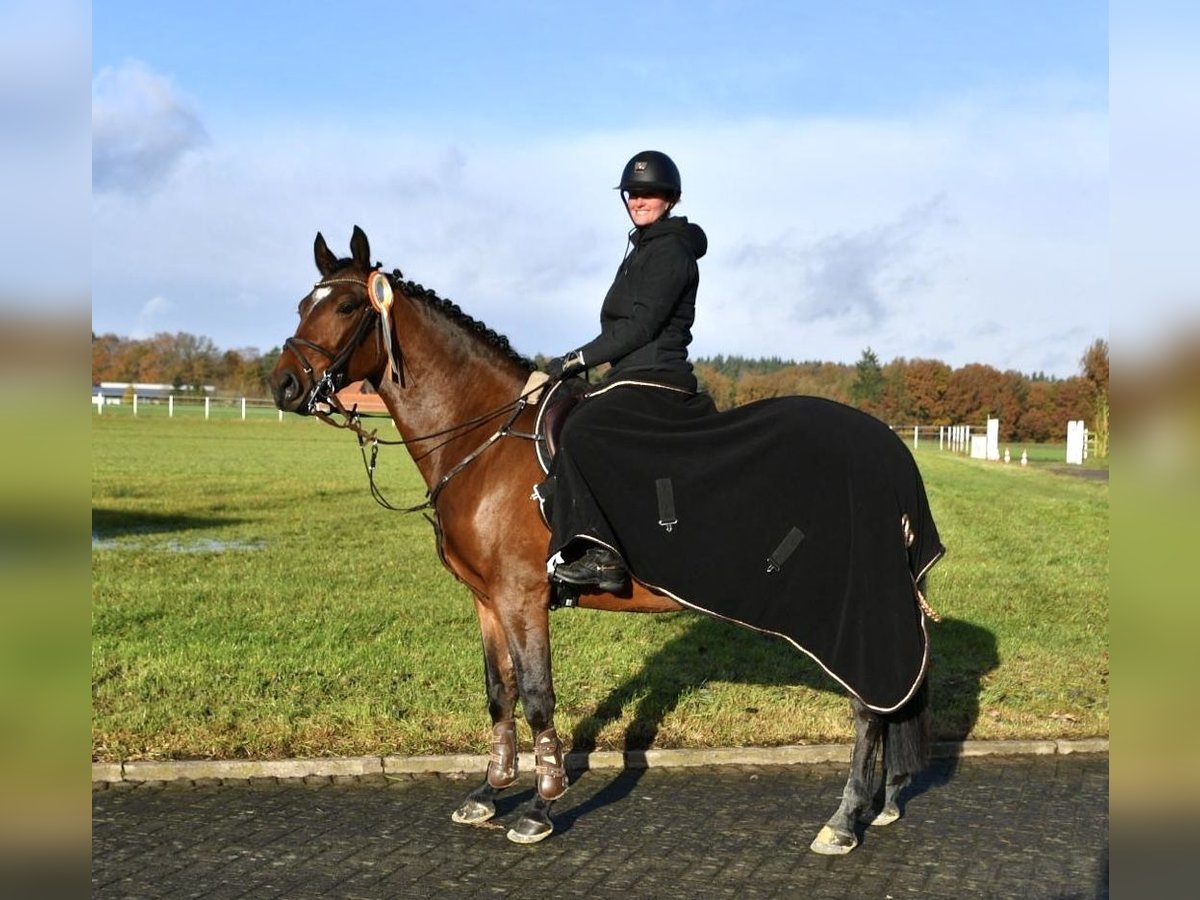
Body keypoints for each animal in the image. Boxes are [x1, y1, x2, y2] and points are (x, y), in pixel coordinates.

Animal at [270, 225, 936, 854]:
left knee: (868, 710)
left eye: (349, 306)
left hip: (853, 612)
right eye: (302, 303)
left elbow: (537, 696)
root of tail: (888, 449)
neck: (484, 440)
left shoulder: (521, 599)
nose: (283, 386)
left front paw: (541, 806)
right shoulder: (486, 600)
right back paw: (878, 805)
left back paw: (844, 820)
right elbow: (498, 693)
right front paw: (489, 792)